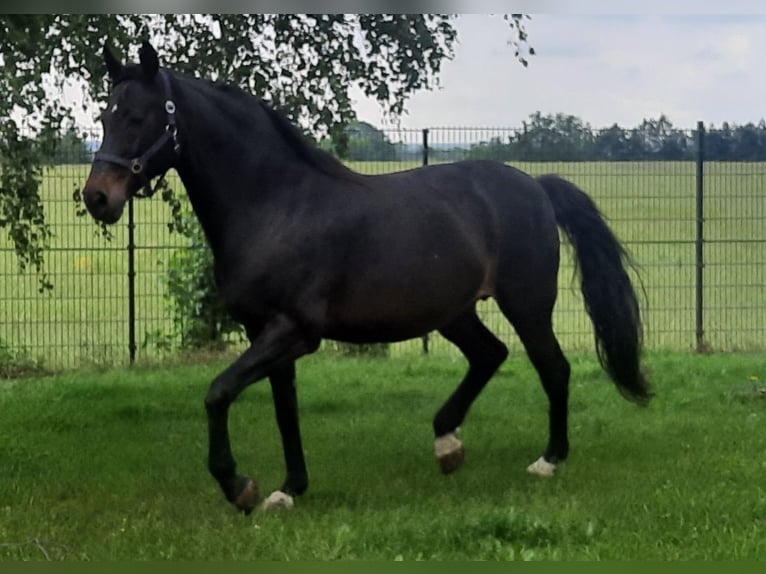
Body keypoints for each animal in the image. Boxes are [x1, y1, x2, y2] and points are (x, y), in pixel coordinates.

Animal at [81, 42, 652, 516]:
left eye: (138, 116)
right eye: (104, 116)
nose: (96, 198)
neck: (275, 203)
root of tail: (535, 185)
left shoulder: (293, 331)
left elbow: (218, 393)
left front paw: (239, 486)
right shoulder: (265, 332)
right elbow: (284, 408)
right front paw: (288, 490)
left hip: (527, 304)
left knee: (552, 369)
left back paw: (548, 460)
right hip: (453, 312)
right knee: (490, 355)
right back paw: (447, 444)